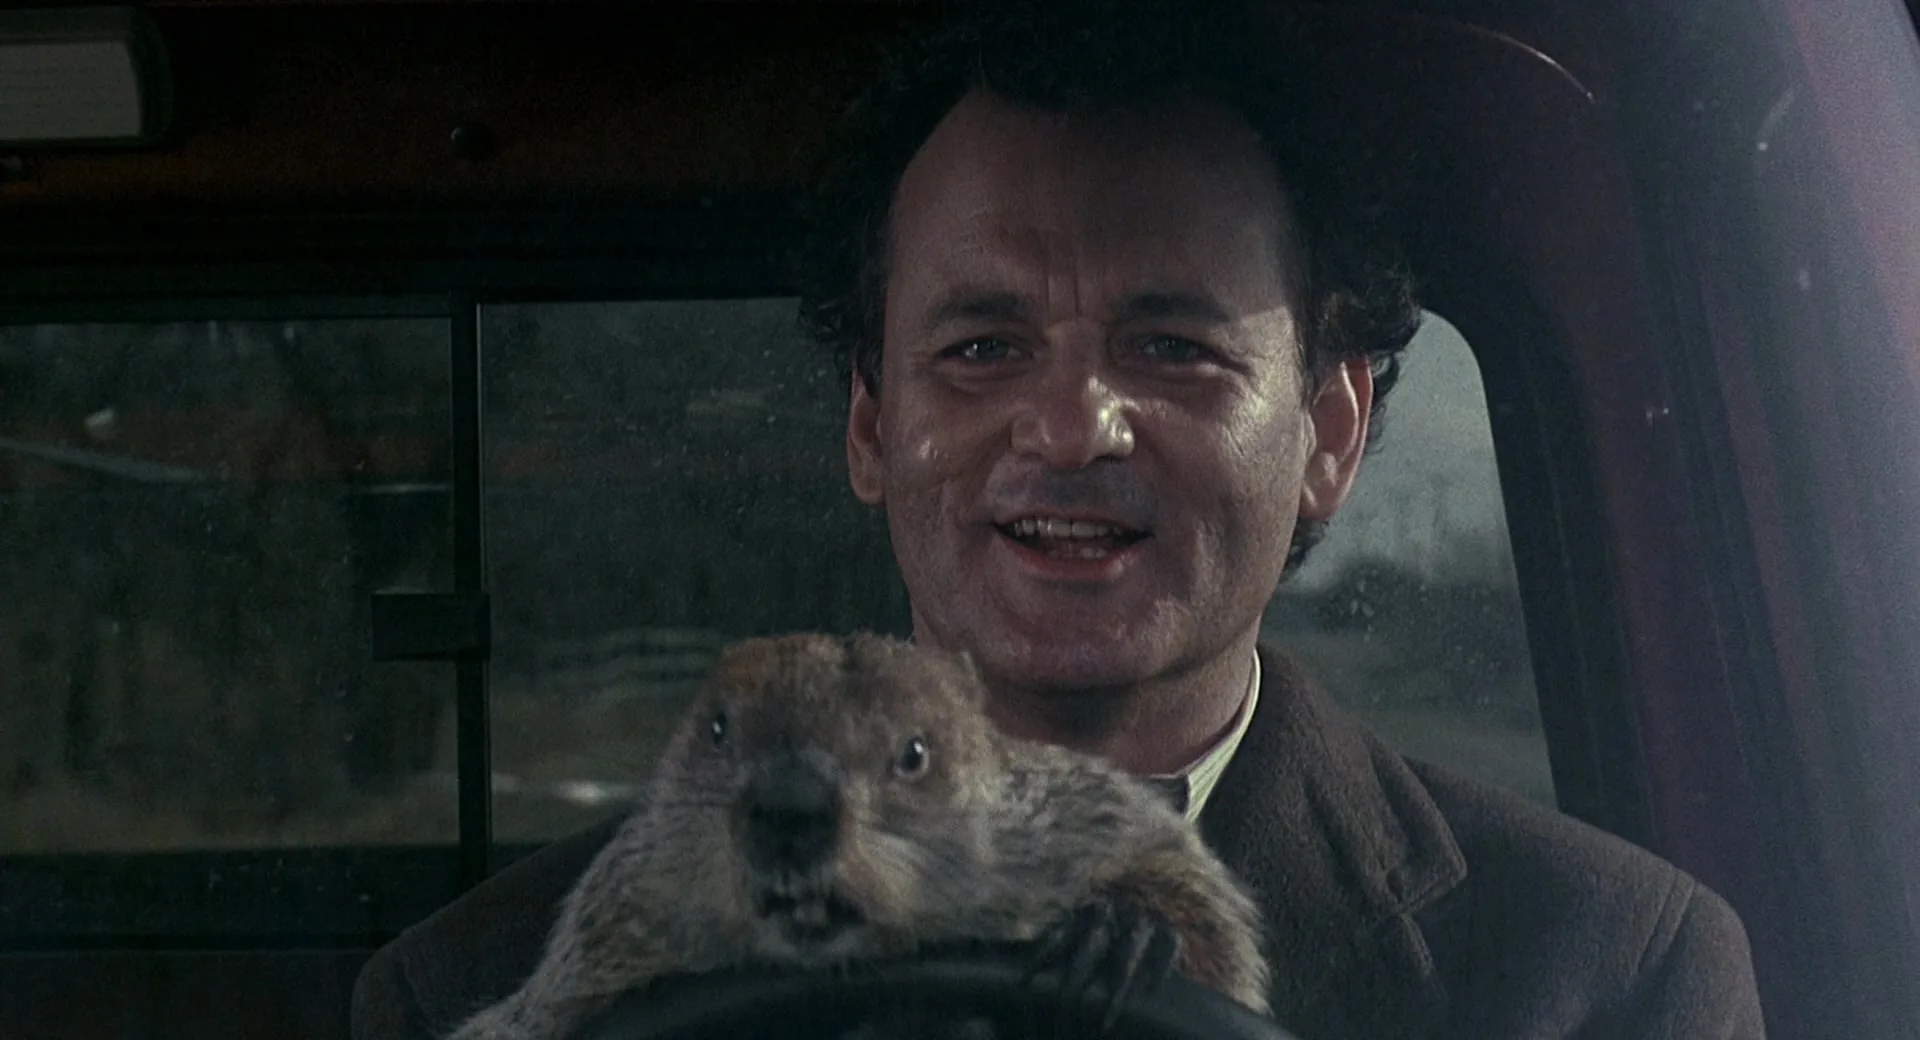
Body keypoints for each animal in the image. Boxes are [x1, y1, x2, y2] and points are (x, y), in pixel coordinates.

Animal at [447, 631, 1271, 1040]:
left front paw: (1119, 931)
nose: (788, 809)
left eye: (914, 752)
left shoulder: (1071, 817)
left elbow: (1198, 903)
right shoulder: (619, 911)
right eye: (716, 728)